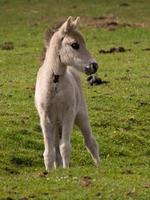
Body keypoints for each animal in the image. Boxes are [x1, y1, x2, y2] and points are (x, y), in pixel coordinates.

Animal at [34, 16, 99, 171]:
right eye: (75, 44)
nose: (94, 66)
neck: (55, 82)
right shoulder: (45, 118)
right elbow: (49, 151)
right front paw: (50, 171)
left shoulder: (68, 114)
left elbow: (65, 147)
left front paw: (66, 170)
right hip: (55, 124)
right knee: (56, 148)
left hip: (81, 116)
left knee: (90, 141)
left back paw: (99, 165)